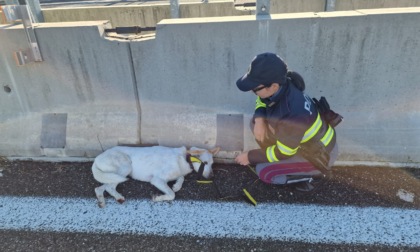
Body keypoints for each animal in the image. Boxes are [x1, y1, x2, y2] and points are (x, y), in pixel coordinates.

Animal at [92, 145, 220, 208]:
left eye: (212, 164)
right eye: (205, 163)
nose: (212, 177)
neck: (185, 158)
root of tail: (97, 158)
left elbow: (181, 178)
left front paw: (177, 185)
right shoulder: (157, 180)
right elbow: (172, 195)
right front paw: (158, 198)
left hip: (115, 174)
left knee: (100, 188)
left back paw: (105, 200)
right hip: (125, 167)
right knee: (108, 187)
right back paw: (117, 197)